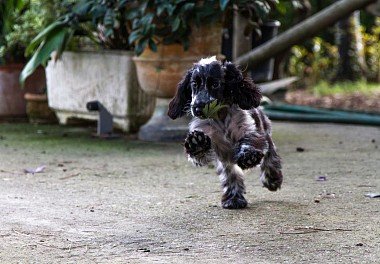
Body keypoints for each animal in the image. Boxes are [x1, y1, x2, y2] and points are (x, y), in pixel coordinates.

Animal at [167, 56, 282, 209]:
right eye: (194, 84)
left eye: (215, 84)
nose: (197, 108)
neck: (220, 118)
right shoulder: (213, 146)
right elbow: (200, 153)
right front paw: (196, 142)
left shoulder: (250, 131)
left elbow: (250, 143)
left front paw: (249, 157)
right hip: (226, 161)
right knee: (231, 174)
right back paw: (234, 199)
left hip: (265, 133)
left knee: (270, 156)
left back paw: (272, 179)